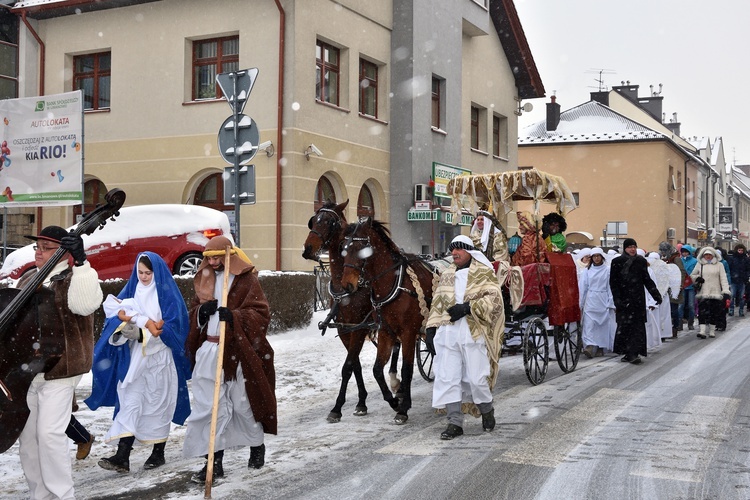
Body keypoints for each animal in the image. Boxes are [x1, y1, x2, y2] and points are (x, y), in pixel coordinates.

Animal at [302, 199, 402, 422]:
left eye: (329, 222)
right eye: (314, 220)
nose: (307, 249)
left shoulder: (359, 327)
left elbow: (347, 367)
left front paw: (337, 407)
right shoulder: (344, 329)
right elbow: (354, 363)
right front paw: (361, 402)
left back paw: (395, 382)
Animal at [340, 218, 434, 422]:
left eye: (360, 248)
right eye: (343, 248)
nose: (346, 285)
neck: (394, 283)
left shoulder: (408, 333)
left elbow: (407, 369)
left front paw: (403, 408)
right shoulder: (386, 332)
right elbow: (376, 370)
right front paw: (394, 401)